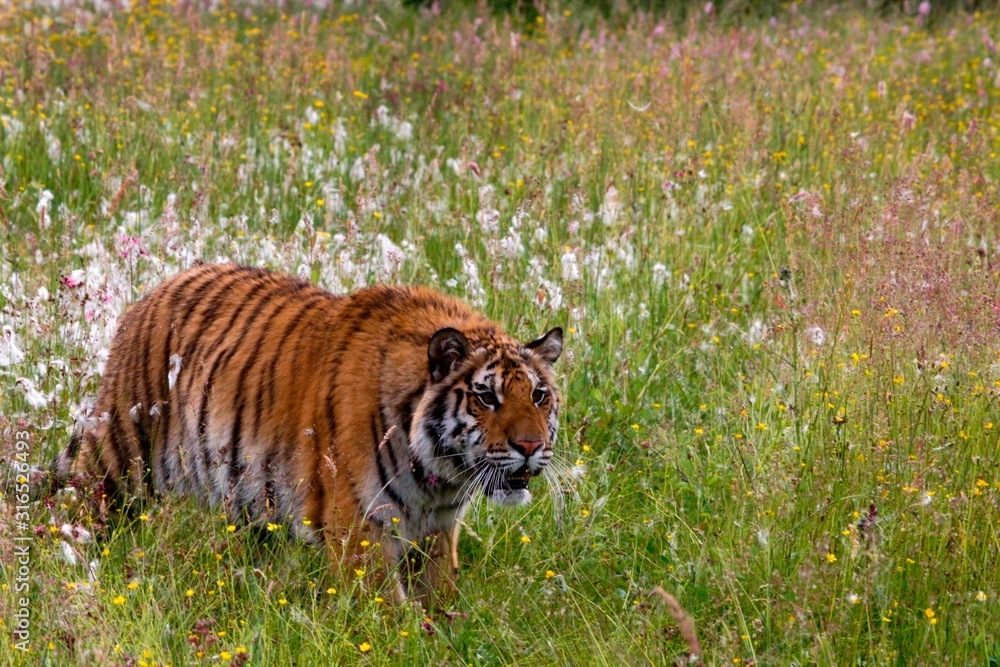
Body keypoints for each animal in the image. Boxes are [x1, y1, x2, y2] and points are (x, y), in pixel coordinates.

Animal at [54, 262, 563, 603]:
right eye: (487, 397)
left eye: (538, 396)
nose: (530, 446)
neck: (439, 475)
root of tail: (153, 292)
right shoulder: (360, 528)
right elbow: (390, 613)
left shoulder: (436, 531)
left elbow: (439, 596)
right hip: (119, 456)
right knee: (76, 499)